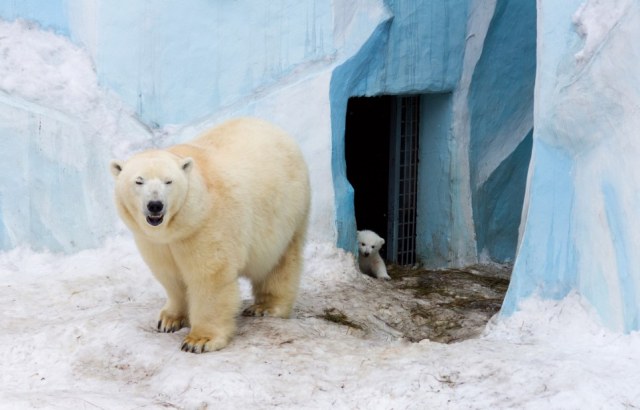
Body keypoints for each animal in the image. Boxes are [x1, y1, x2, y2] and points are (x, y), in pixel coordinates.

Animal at [110, 117, 310, 352]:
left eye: (169, 181)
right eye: (139, 181)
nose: (155, 205)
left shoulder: (205, 226)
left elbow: (209, 276)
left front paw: (199, 341)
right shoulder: (156, 242)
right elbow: (170, 276)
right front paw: (169, 320)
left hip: (286, 211)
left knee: (280, 261)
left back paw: (265, 307)